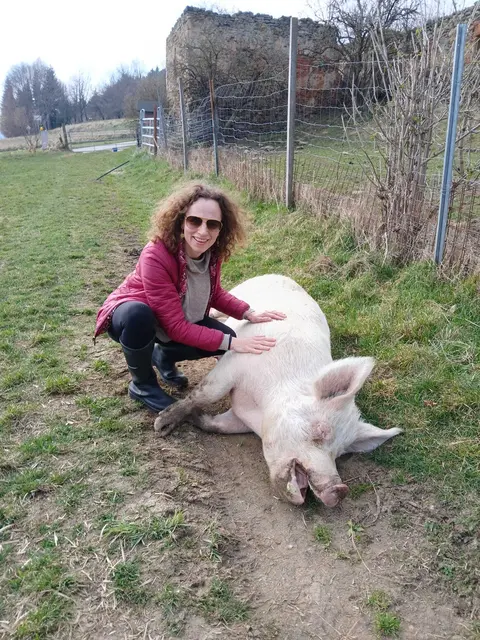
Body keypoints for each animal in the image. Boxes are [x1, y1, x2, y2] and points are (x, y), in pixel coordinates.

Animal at [154, 274, 401, 507]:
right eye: (320, 431)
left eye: (340, 453)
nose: (340, 490)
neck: (260, 407)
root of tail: (281, 275)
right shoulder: (234, 365)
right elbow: (206, 393)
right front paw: (161, 425)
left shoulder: (241, 418)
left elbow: (216, 425)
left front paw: (194, 418)